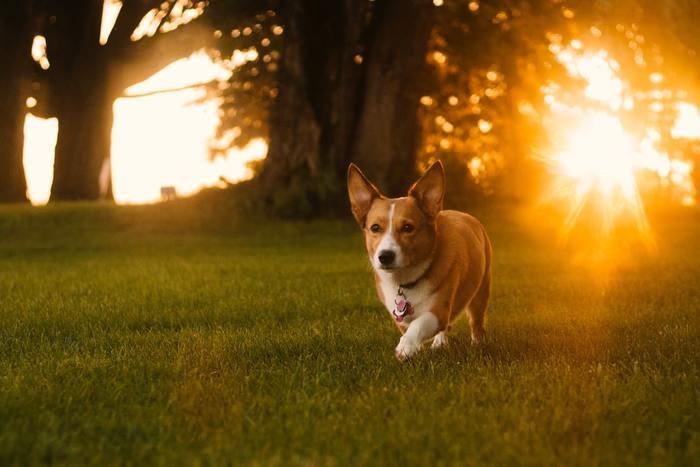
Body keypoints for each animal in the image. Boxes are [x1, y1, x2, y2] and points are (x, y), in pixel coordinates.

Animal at [348, 162, 492, 362]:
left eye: (408, 227)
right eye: (375, 228)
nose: (385, 256)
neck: (406, 281)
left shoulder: (438, 312)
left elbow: (419, 324)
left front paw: (406, 346)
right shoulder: (400, 317)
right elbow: (411, 326)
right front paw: (415, 349)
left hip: (480, 292)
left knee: (476, 321)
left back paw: (478, 343)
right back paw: (440, 343)